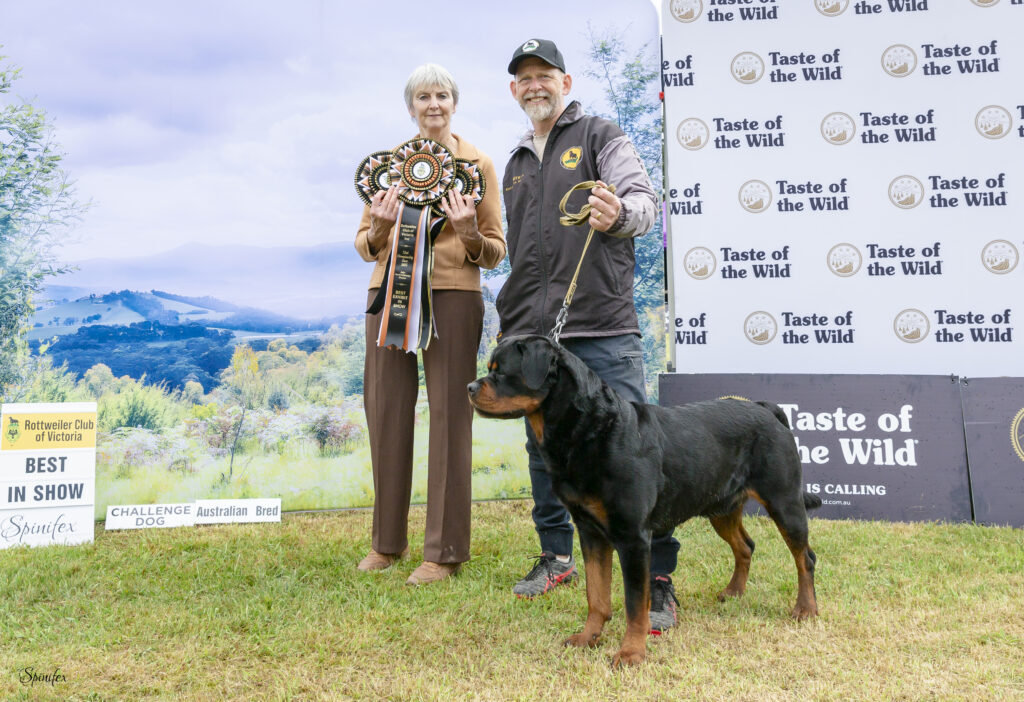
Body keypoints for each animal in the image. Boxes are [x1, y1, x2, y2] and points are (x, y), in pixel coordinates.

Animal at [467, 335, 821, 666]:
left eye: (501, 372)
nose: (470, 387)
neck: (588, 430)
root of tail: (765, 408)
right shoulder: (590, 531)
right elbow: (596, 594)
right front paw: (588, 637)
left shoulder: (633, 537)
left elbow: (636, 603)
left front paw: (631, 653)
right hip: (721, 505)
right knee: (745, 546)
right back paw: (734, 592)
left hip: (784, 501)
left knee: (805, 557)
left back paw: (805, 609)